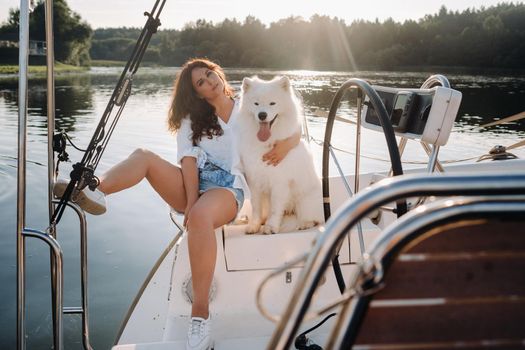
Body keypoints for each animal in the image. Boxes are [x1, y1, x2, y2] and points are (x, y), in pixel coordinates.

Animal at [235, 76, 322, 235]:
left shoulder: (279, 182)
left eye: (272, 103)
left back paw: (304, 224)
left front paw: (271, 227)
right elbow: (256, 207)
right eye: (256, 103)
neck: (267, 143)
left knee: (314, 218)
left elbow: (275, 209)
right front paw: (254, 225)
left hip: (305, 200)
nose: (262, 115)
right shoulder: (254, 181)